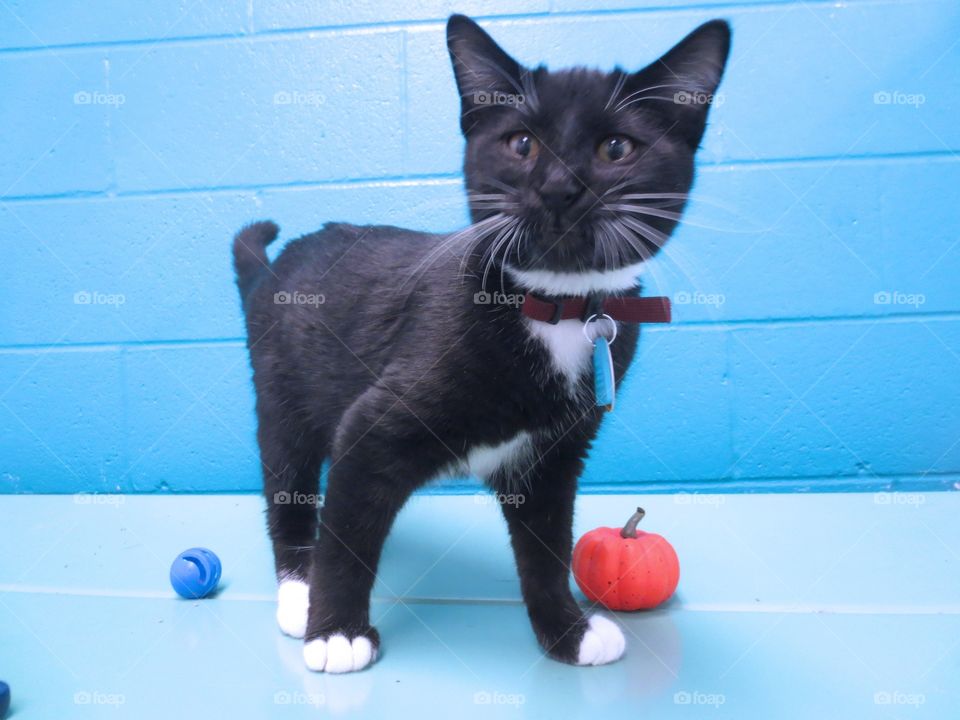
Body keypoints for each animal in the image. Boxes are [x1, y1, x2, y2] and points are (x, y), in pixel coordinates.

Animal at [232, 14, 728, 672]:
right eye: (521, 144)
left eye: (616, 148)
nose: (559, 187)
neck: (554, 309)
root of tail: (274, 268)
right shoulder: (372, 425)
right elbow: (348, 535)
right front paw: (336, 632)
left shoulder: (554, 456)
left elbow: (547, 547)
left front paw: (568, 631)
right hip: (282, 392)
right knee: (287, 483)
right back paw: (297, 591)